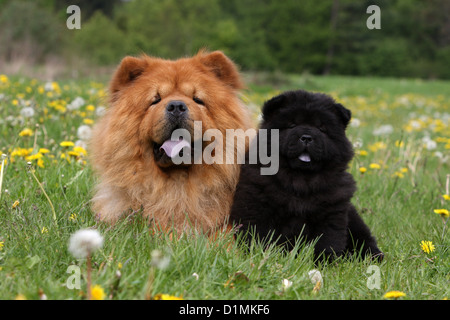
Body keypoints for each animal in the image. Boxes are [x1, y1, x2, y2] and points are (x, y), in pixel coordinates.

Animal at [232, 89, 384, 262]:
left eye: (322, 128)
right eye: (292, 125)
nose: (306, 137)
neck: (301, 181)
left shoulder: (332, 213)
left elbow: (328, 240)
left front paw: (325, 262)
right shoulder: (256, 204)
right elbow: (257, 233)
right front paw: (258, 255)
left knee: (364, 238)